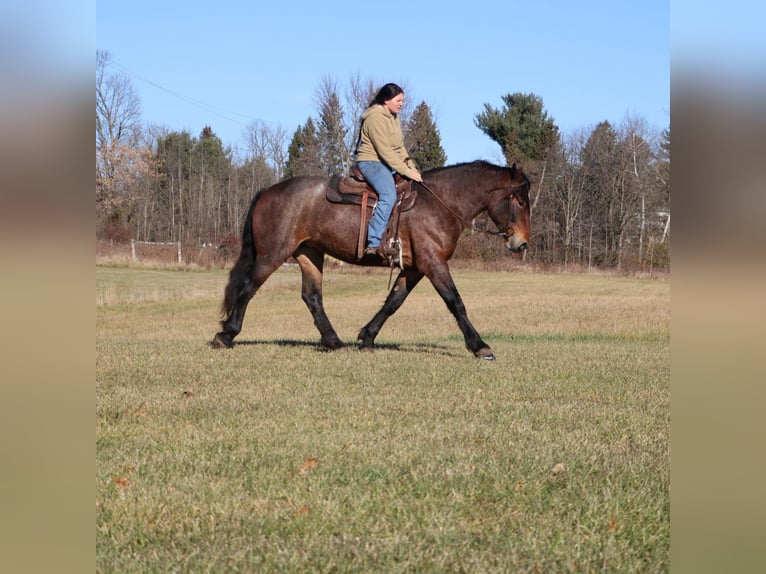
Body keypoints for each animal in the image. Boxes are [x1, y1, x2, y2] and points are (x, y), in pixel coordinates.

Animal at [211, 160, 531, 360]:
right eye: (519, 200)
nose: (521, 242)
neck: (438, 203)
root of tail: (270, 190)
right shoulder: (434, 264)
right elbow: (456, 302)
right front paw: (480, 346)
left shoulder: (415, 268)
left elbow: (393, 302)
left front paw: (367, 336)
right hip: (273, 254)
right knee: (247, 289)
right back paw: (226, 335)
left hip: (309, 253)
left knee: (312, 297)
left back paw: (333, 341)